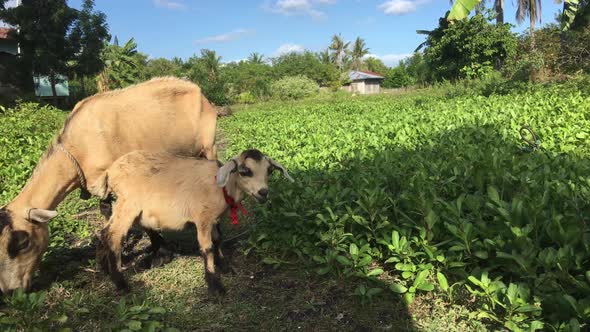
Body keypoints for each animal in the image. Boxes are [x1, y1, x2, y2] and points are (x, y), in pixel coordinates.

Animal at [0, 77, 220, 294]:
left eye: (23, 243)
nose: (10, 291)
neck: (79, 146)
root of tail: (197, 90)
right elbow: (106, 212)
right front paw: (109, 260)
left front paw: (160, 255)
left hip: (209, 146)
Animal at [92, 149, 294, 294]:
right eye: (245, 172)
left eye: (269, 171)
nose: (263, 192)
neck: (222, 188)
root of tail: (110, 171)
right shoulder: (202, 217)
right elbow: (207, 248)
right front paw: (214, 284)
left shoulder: (214, 219)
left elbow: (218, 240)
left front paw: (225, 266)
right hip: (128, 204)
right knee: (113, 236)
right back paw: (121, 283)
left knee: (104, 232)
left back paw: (106, 269)